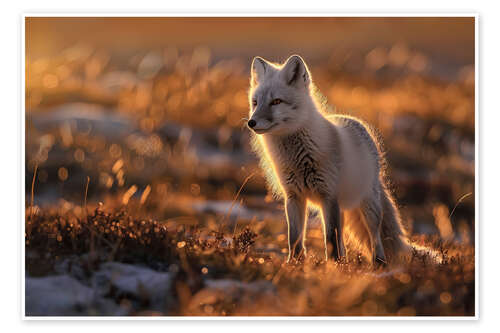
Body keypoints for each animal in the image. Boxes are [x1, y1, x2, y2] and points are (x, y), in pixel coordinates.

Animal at [246, 55, 410, 266]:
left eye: (276, 101)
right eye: (255, 102)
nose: (251, 122)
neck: (299, 158)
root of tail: (355, 121)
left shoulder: (328, 195)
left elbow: (330, 238)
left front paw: (332, 266)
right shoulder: (293, 197)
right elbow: (294, 238)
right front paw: (294, 264)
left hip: (368, 205)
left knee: (374, 236)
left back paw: (378, 263)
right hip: (341, 209)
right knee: (343, 240)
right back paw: (346, 261)